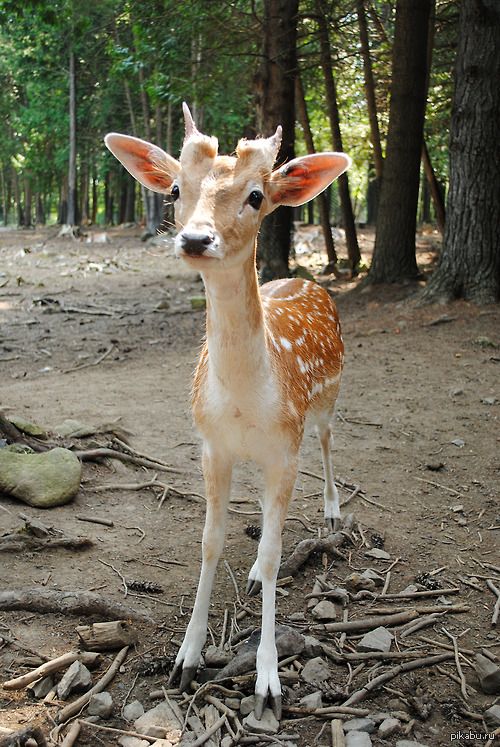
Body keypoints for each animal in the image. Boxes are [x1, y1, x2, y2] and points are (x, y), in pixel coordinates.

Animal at [103, 102, 350, 720]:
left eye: (257, 194)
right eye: (174, 190)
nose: (195, 238)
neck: (243, 404)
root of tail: (306, 279)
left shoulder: (284, 449)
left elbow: (274, 554)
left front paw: (267, 682)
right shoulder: (211, 445)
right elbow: (211, 544)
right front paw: (186, 660)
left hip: (326, 400)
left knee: (329, 440)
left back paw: (334, 513)